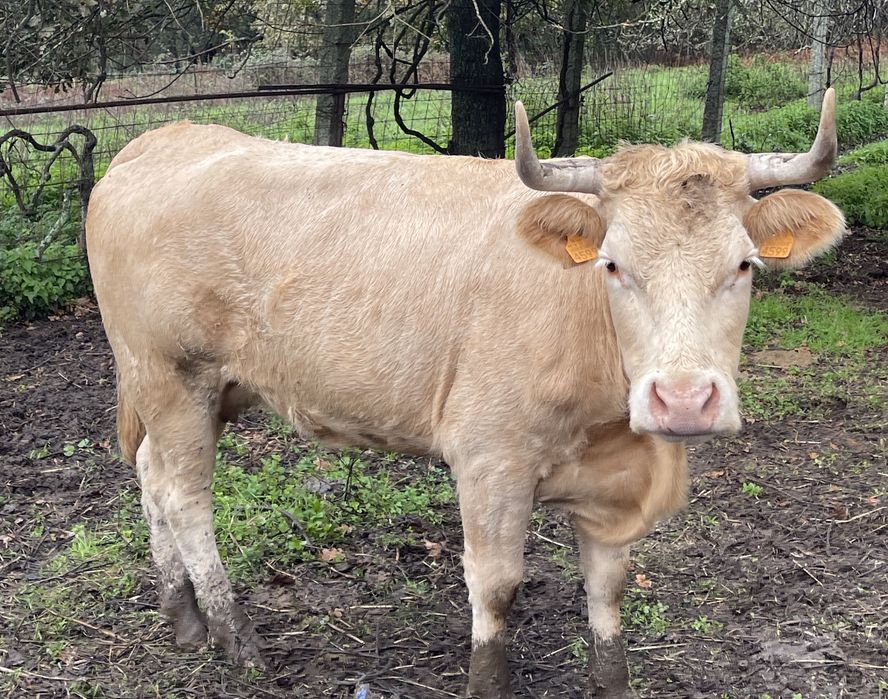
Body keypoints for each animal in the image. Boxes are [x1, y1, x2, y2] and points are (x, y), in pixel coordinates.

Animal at [85, 88, 844, 698]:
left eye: (744, 264)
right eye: (612, 264)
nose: (682, 400)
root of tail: (159, 141)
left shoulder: (610, 474)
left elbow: (608, 582)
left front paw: (610, 679)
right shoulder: (490, 457)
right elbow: (497, 580)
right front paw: (489, 680)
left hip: (209, 389)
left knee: (152, 475)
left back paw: (183, 616)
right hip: (171, 374)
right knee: (186, 497)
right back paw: (233, 635)